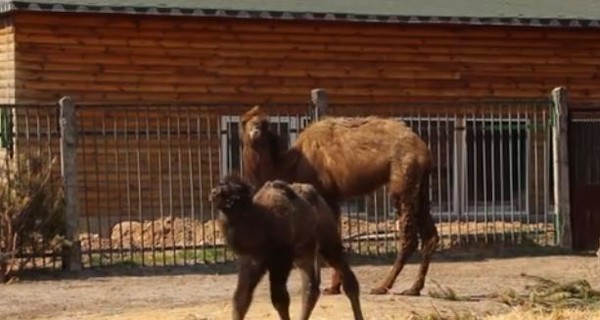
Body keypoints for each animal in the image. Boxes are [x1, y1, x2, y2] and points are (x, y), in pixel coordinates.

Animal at [206, 174, 366, 318]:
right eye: (222, 184)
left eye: (234, 191)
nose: (214, 192)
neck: (259, 221)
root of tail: (319, 199)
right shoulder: (250, 261)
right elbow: (241, 299)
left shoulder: (281, 259)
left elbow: (279, 300)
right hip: (304, 251)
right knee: (310, 288)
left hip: (328, 240)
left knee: (348, 280)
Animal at [240, 106, 440, 296]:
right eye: (244, 122)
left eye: (265, 124)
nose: (255, 130)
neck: (292, 163)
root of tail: (425, 150)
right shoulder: (332, 198)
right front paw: (334, 287)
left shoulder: (325, 195)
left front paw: (327, 287)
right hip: (420, 187)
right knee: (430, 236)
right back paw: (414, 288)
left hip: (403, 180)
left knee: (409, 237)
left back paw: (382, 287)